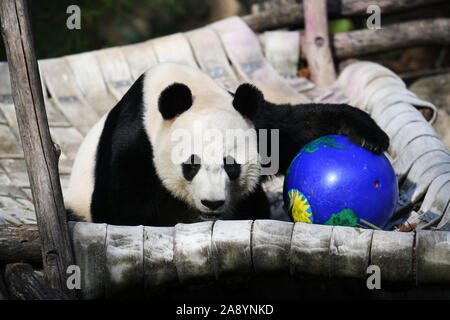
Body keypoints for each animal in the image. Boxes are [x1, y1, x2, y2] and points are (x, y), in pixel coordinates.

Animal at [64, 62, 390, 226]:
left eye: (231, 166)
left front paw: (369, 135)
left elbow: (293, 130)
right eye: (191, 165)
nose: (212, 203)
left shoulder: (255, 121)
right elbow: (122, 212)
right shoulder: (134, 143)